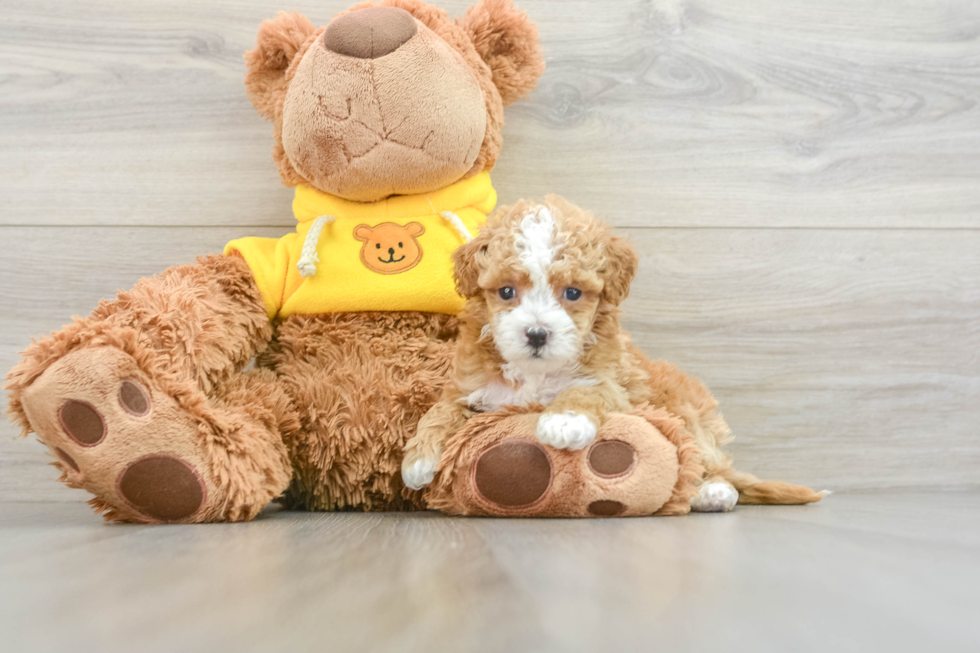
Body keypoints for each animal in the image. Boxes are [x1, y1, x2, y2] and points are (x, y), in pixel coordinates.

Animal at [402, 196, 824, 512]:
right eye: (506, 292)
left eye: (573, 293)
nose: (537, 334)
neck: (537, 374)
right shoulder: (470, 386)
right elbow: (440, 410)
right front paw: (417, 459)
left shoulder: (615, 384)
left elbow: (586, 389)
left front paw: (564, 421)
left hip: (685, 412)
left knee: (707, 464)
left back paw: (712, 492)